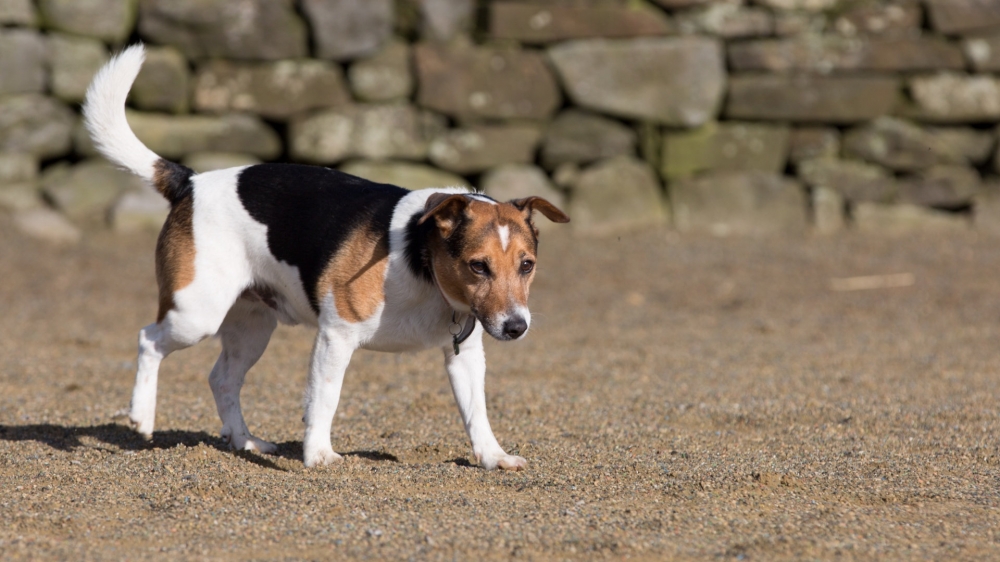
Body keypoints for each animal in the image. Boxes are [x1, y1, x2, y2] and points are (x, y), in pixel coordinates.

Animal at [84, 46, 572, 468]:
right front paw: (318, 454)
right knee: (148, 339)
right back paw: (142, 416)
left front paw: (493, 457)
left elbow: (476, 412)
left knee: (222, 378)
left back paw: (245, 441)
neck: (423, 265)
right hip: (195, 313)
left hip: (252, 326)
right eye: (477, 265)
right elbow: (325, 399)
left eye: (527, 266)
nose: (516, 327)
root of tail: (191, 181)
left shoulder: (466, 353)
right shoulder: (337, 336)